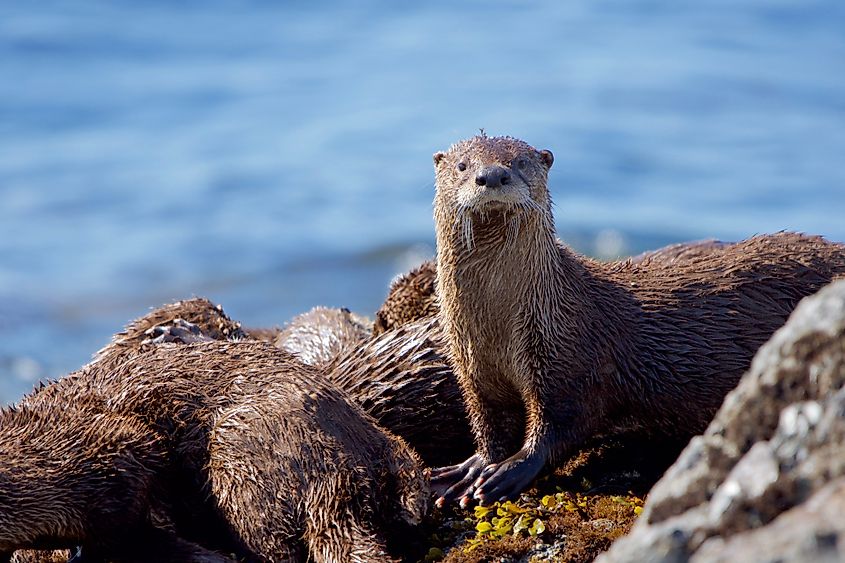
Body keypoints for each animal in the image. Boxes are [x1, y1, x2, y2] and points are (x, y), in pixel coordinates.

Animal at [429, 134, 845, 507]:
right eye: (462, 165)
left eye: (519, 162)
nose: (492, 175)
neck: (498, 329)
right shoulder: (475, 372)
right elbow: (490, 425)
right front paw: (471, 467)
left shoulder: (569, 357)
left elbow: (561, 424)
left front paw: (507, 471)